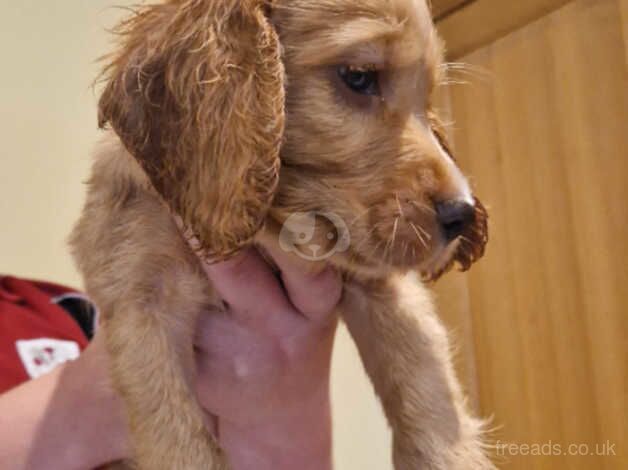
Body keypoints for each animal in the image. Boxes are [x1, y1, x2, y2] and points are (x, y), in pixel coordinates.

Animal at [72, 0, 496, 470]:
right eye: (358, 76)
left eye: (428, 98)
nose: (463, 215)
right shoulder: (142, 306)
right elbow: (180, 441)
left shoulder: (385, 287)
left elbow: (430, 397)